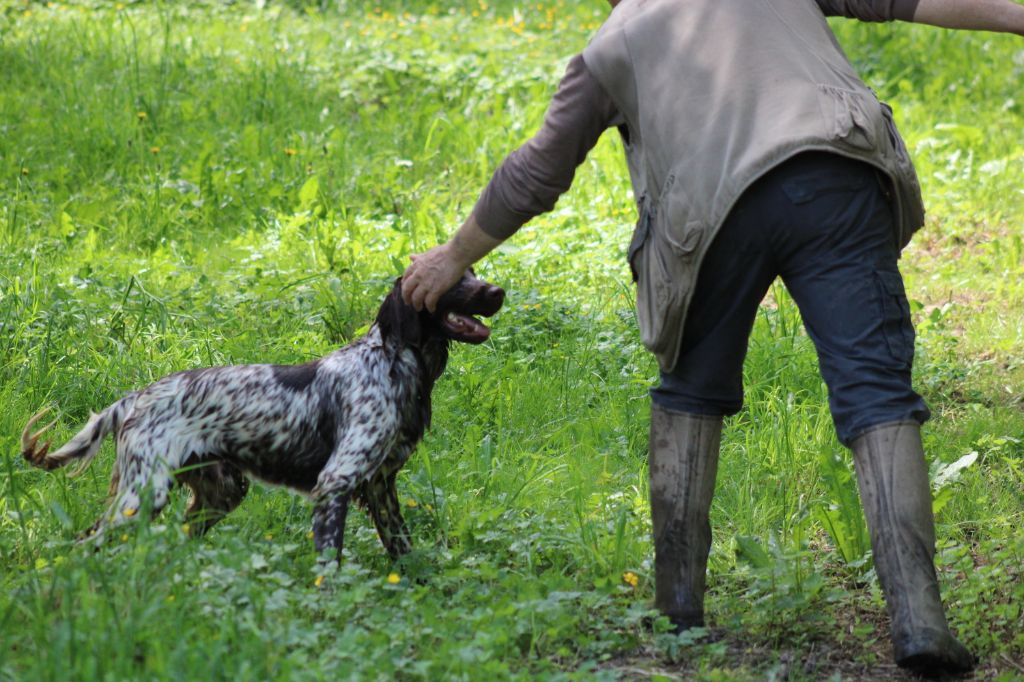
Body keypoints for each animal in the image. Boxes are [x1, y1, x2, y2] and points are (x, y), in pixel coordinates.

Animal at [19, 270, 503, 557]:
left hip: (220, 492)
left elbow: (404, 551)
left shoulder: (381, 484)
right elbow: (330, 566)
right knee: (86, 544)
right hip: (143, 495)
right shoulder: (336, 483)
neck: (393, 361)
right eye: (457, 279)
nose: (498, 292)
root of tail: (137, 396)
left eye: (473, 273)